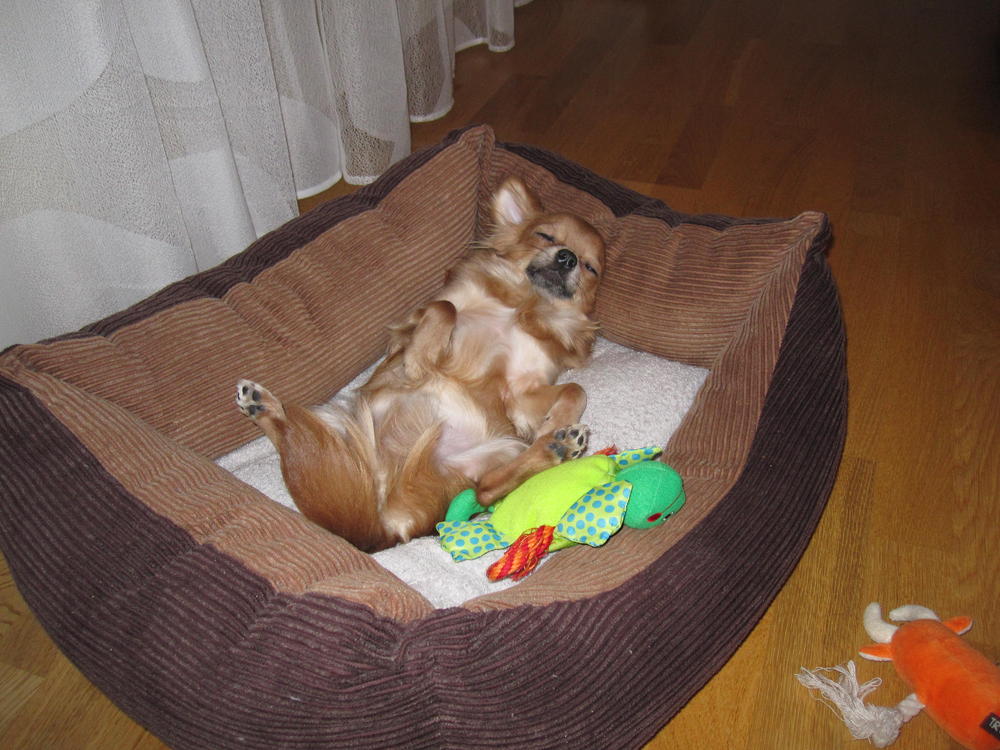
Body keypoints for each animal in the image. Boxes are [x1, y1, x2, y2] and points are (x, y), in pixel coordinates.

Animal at [235, 176, 605, 552]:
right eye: (545, 236)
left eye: (590, 268)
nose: (568, 258)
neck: (526, 304)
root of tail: (395, 522)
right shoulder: (417, 321)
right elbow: (445, 309)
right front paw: (418, 364)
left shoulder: (519, 393)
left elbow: (575, 389)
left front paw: (554, 422)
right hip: (342, 424)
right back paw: (263, 406)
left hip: (496, 450)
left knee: (487, 490)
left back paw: (557, 446)